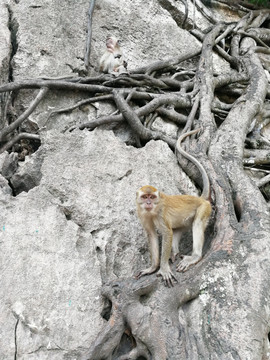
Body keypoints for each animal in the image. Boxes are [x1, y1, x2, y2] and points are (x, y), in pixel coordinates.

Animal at [136, 129, 212, 286]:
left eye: (152, 197)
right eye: (145, 197)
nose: (148, 203)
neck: (152, 211)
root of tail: (200, 198)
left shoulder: (160, 213)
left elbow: (167, 233)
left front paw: (163, 269)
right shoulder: (142, 214)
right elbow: (152, 235)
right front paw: (152, 267)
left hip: (204, 208)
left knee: (197, 224)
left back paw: (194, 256)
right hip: (185, 220)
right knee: (177, 230)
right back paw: (175, 252)